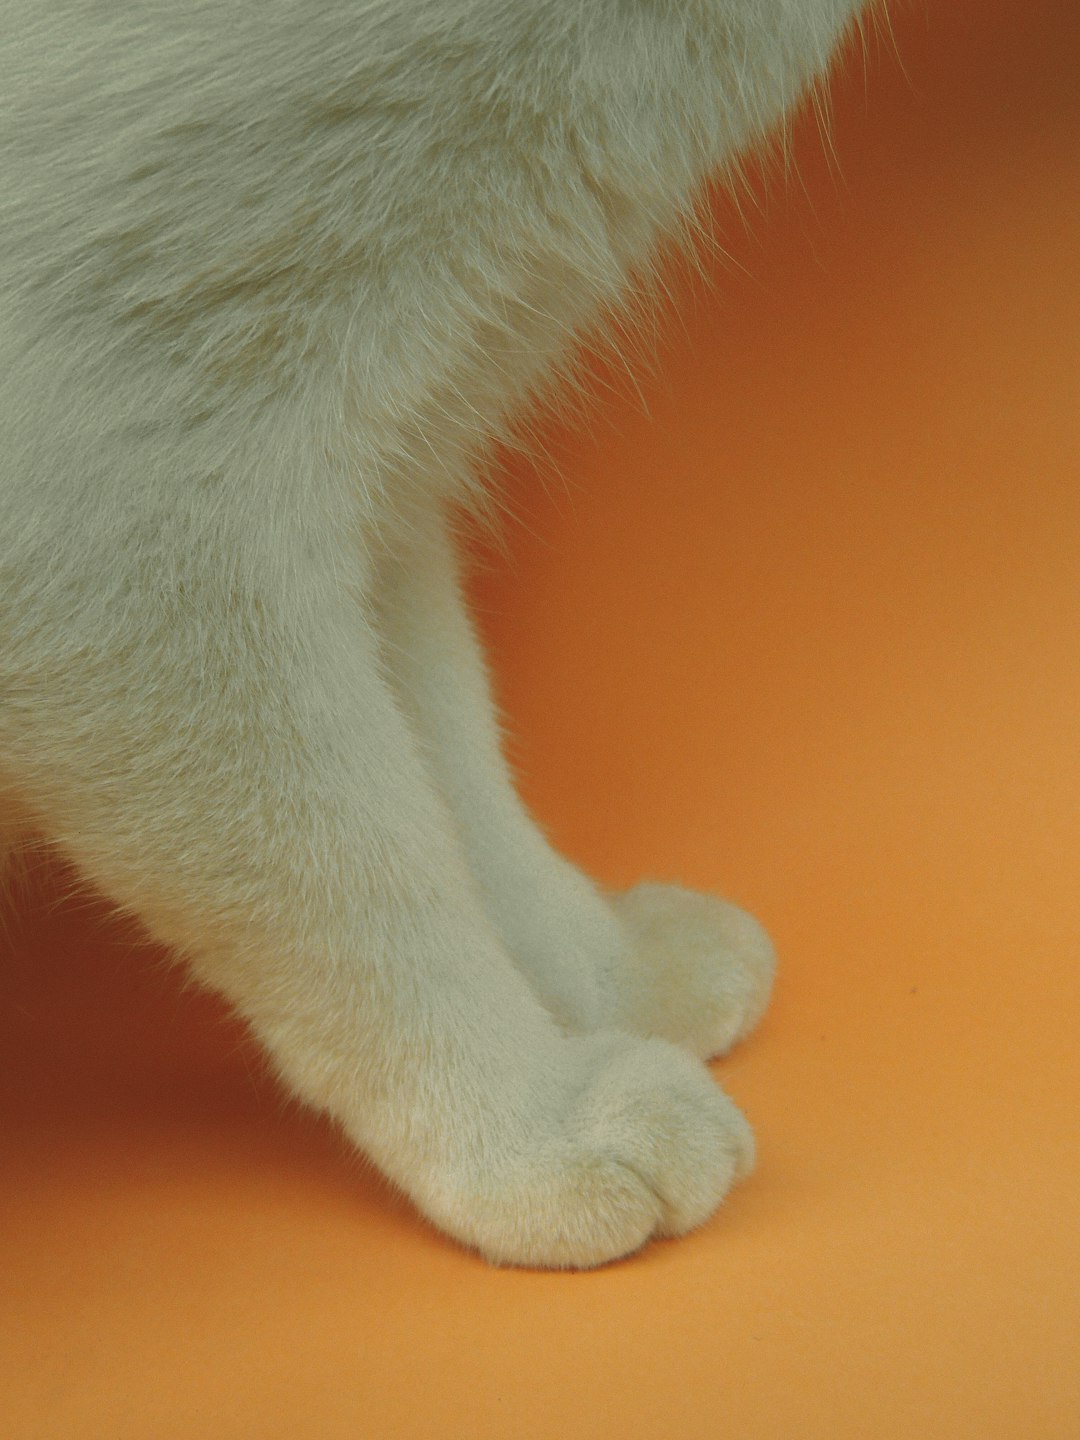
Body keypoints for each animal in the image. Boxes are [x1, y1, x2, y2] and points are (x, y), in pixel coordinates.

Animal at [0, 0, 864, 1267]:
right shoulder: (118, 485)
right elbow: (360, 869)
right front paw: (530, 1123)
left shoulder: (387, 474)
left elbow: (456, 781)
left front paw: (600, 973)